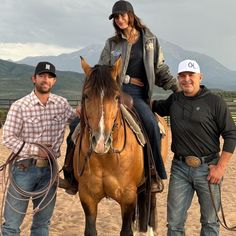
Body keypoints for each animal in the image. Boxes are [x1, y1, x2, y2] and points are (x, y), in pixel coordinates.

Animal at [74, 57, 168, 236]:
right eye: (86, 95)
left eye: (117, 97)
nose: (100, 141)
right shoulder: (87, 197)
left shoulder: (127, 197)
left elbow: (126, 231)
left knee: (150, 203)